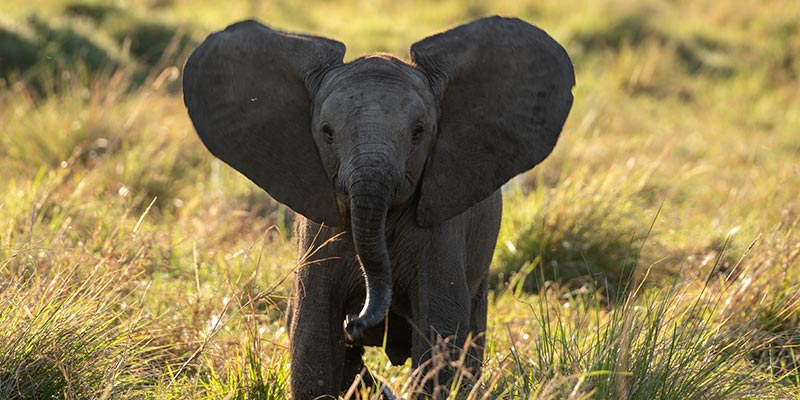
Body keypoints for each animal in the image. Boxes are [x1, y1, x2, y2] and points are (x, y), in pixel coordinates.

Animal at [183, 16, 574, 398]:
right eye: (327, 132)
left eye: (419, 132)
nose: (355, 323)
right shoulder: (320, 230)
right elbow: (313, 332)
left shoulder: (440, 228)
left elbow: (440, 332)